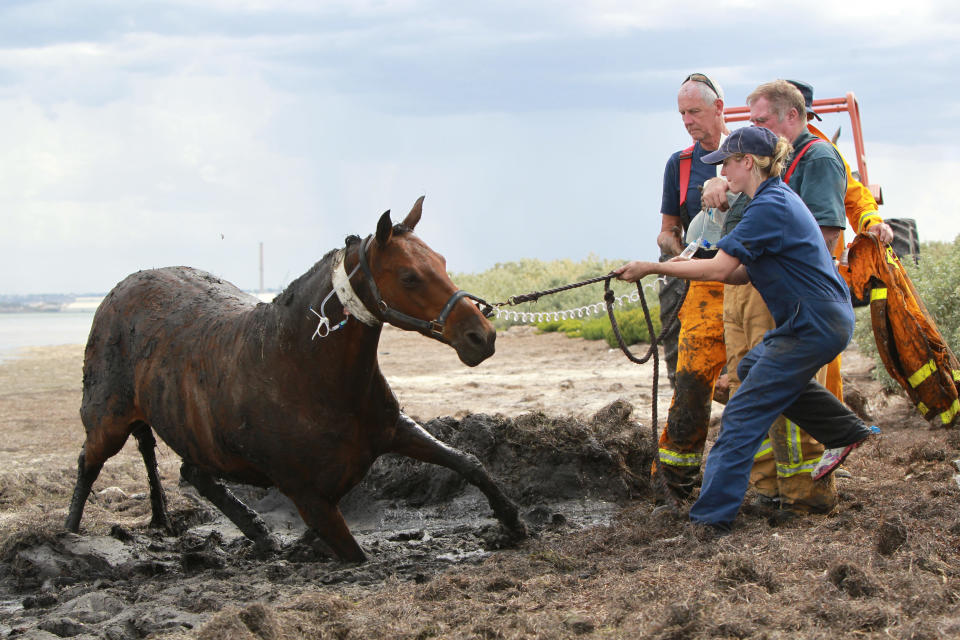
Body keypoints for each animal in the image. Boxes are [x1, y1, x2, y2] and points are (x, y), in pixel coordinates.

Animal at [65, 198, 532, 564]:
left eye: (442, 262)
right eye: (409, 276)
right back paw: (68, 533)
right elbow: (357, 555)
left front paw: (513, 522)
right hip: (108, 423)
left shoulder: (393, 430)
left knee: (192, 472)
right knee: (89, 464)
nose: (481, 336)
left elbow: (468, 462)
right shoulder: (312, 500)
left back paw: (258, 531)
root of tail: (119, 290)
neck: (301, 372)